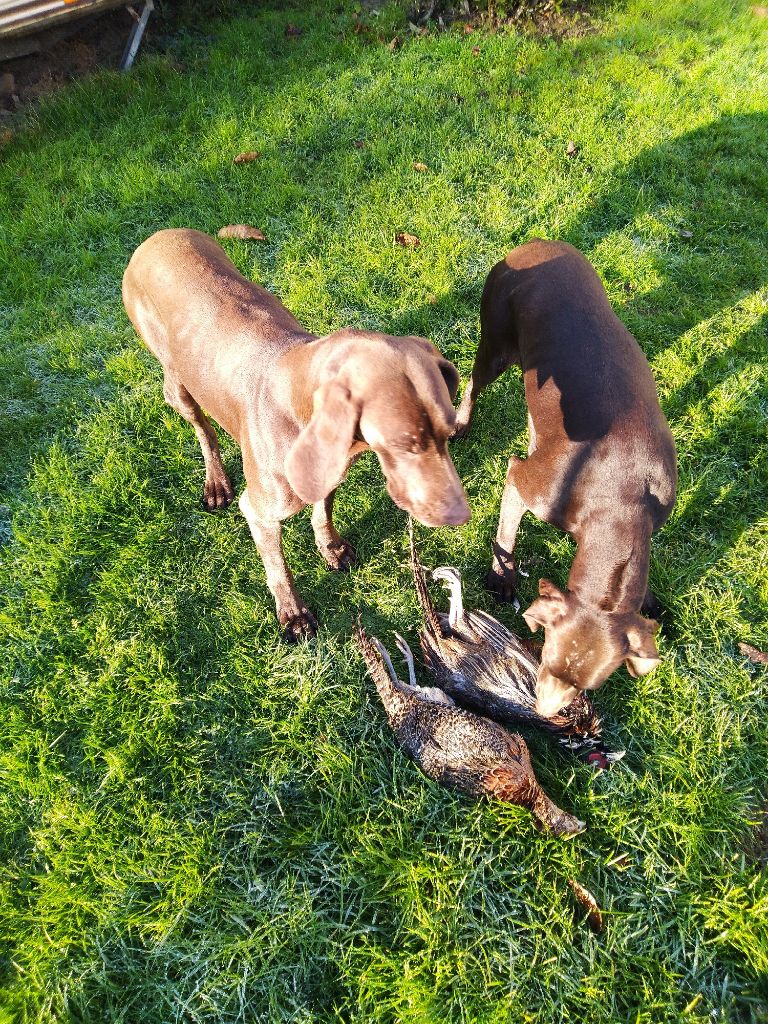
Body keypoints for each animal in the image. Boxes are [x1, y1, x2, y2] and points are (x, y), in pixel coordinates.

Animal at [121, 230, 468, 638]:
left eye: (447, 432)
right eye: (404, 444)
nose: (460, 516)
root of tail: (157, 237)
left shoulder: (328, 470)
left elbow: (323, 512)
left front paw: (331, 547)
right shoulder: (260, 513)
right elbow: (278, 568)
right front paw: (293, 613)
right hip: (177, 385)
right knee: (203, 428)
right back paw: (216, 481)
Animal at [454, 240, 675, 720]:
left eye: (586, 685)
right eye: (546, 657)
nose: (543, 713)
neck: (621, 502)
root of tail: (533, 244)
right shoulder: (522, 479)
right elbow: (506, 533)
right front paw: (501, 578)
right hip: (495, 342)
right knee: (472, 382)